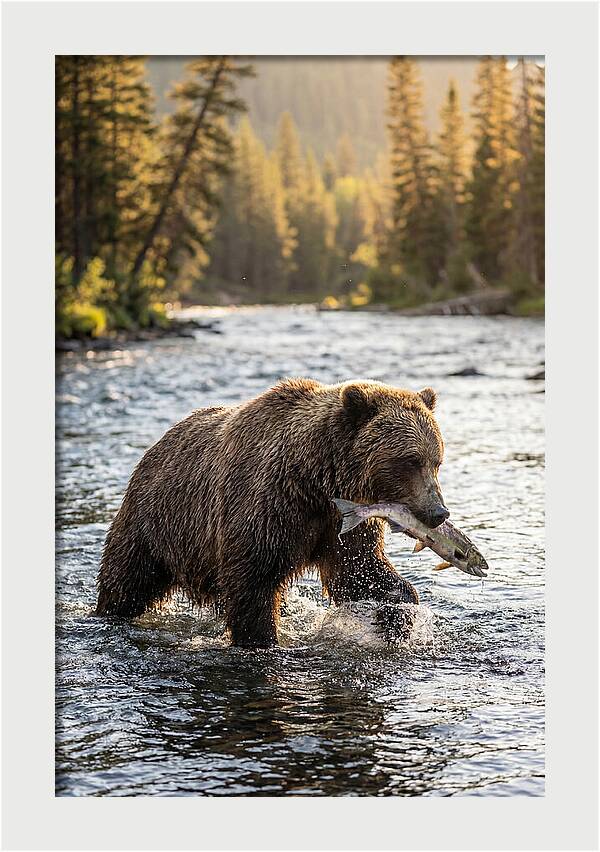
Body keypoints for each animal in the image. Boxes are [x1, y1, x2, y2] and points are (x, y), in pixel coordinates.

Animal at [96, 378, 449, 647]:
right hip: (155, 523)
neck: (316, 480)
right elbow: (253, 581)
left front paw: (398, 612)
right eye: (410, 460)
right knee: (127, 579)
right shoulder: (268, 506)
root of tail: (155, 446)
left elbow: (358, 569)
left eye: (436, 460)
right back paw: (108, 612)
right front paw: (262, 639)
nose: (439, 512)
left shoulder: (342, 520)